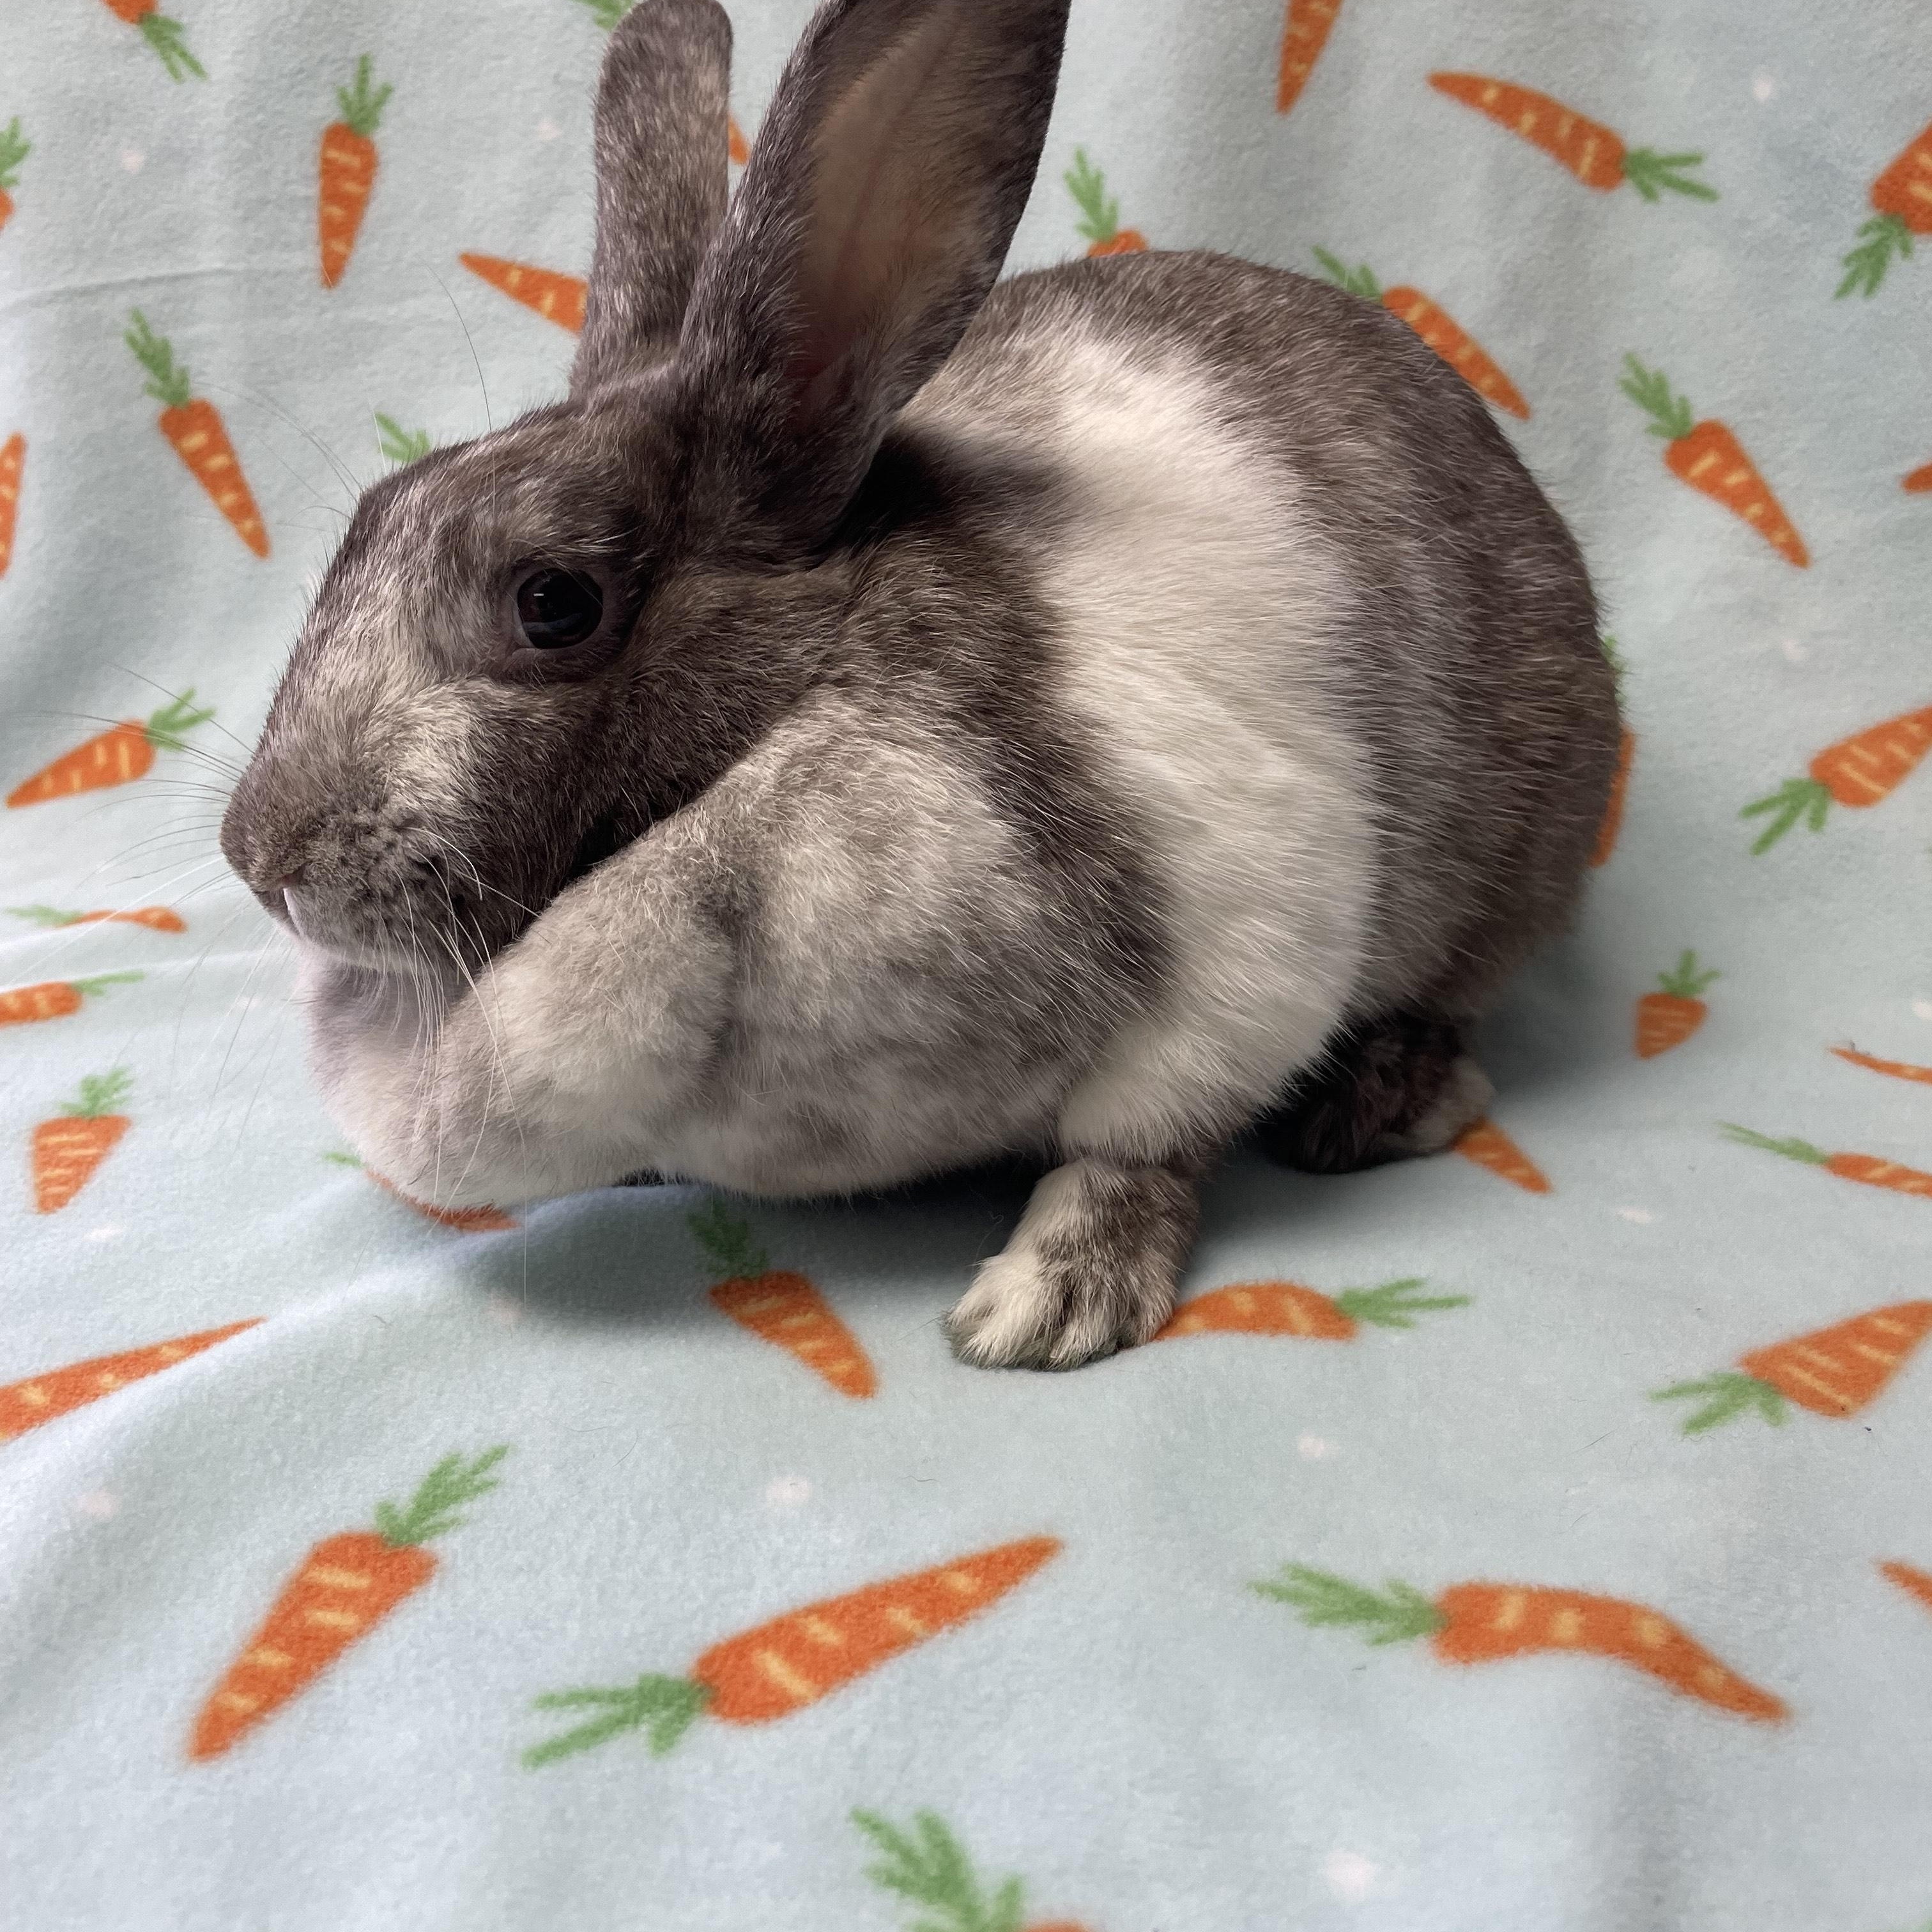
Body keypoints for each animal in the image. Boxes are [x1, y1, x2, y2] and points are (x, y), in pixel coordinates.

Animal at [220, 0, 1618, 1370]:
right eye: (370, 514)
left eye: (552, 602)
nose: (257, 857)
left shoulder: (1248, 947)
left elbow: (1138, 1145)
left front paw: (1050, 1304)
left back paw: (1386, 1102)